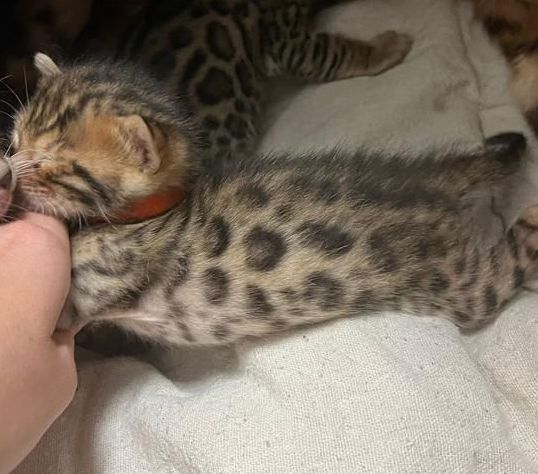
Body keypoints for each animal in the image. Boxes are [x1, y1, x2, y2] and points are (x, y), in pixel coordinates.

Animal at [2, 53, 538, 347]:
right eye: (14, 140)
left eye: (53, 163)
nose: (13, 168)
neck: (162, 211)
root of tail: (421, 183)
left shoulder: (92, 288)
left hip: (461, 284)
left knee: (514, 252)